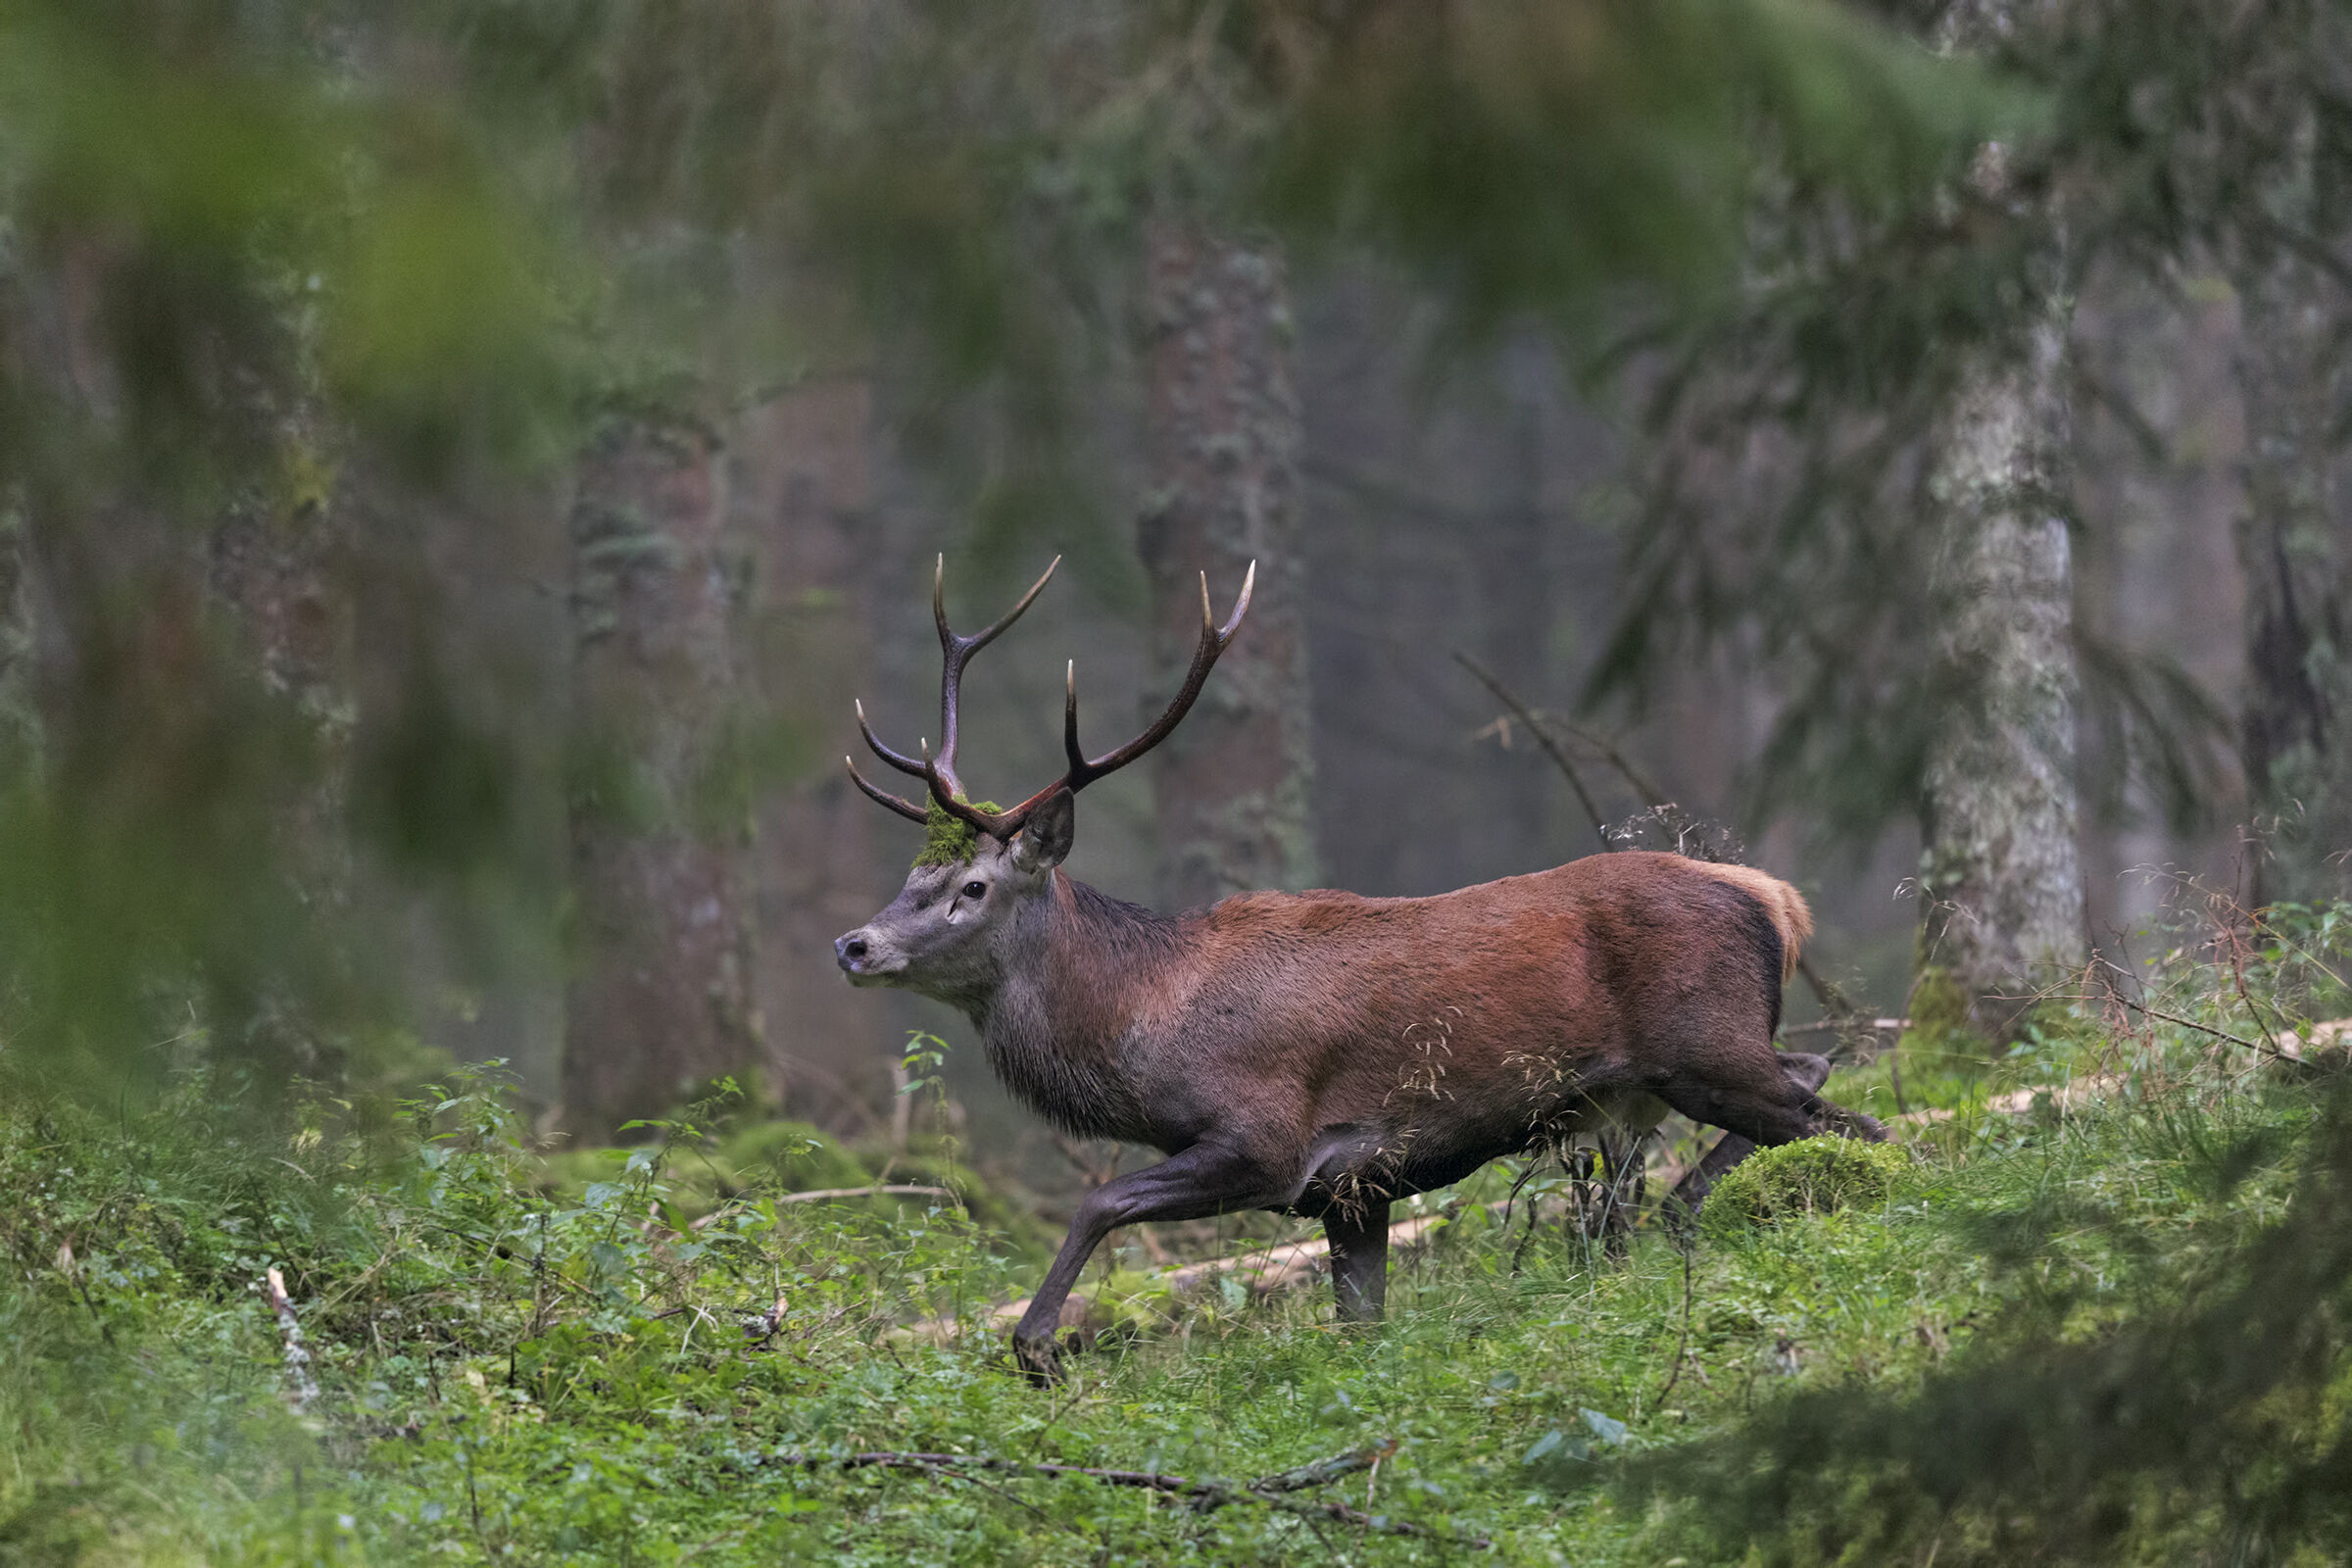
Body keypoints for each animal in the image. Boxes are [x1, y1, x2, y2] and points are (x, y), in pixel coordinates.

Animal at [836, 557, 1885, 1381]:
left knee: (1850, 1112)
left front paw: (1038, 1348)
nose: (853, 944)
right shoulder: (1354, 1187)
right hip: (1683, 1067)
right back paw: (1671, 1220)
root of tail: (1776, 897)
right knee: (1812, 1077)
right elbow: (1360, 1328)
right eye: (910, 874)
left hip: (1705, 1044)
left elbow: (1102, 1198)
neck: (1143, 1029)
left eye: (971, 885)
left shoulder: (1265, 1140)